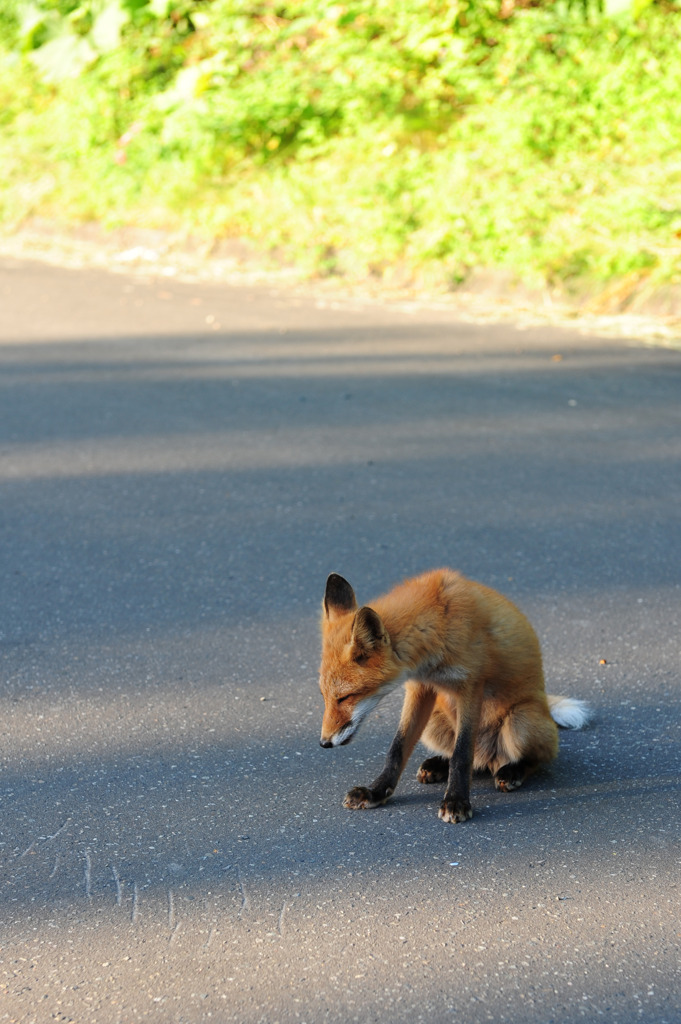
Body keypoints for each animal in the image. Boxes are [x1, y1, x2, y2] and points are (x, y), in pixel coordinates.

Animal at [319, 569, 589, 823]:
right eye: (324, 696)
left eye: (345, 697)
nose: (324, 743)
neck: (437, 624)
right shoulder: (421, 687)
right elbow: (397, 748)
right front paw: (376, 791)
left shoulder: (470, 685)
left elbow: (462, 753)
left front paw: (456, 801)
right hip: (434, 722)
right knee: (470, 761)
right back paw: (438, 764)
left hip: (521, 720)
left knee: (536, 757)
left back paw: (513, 771)